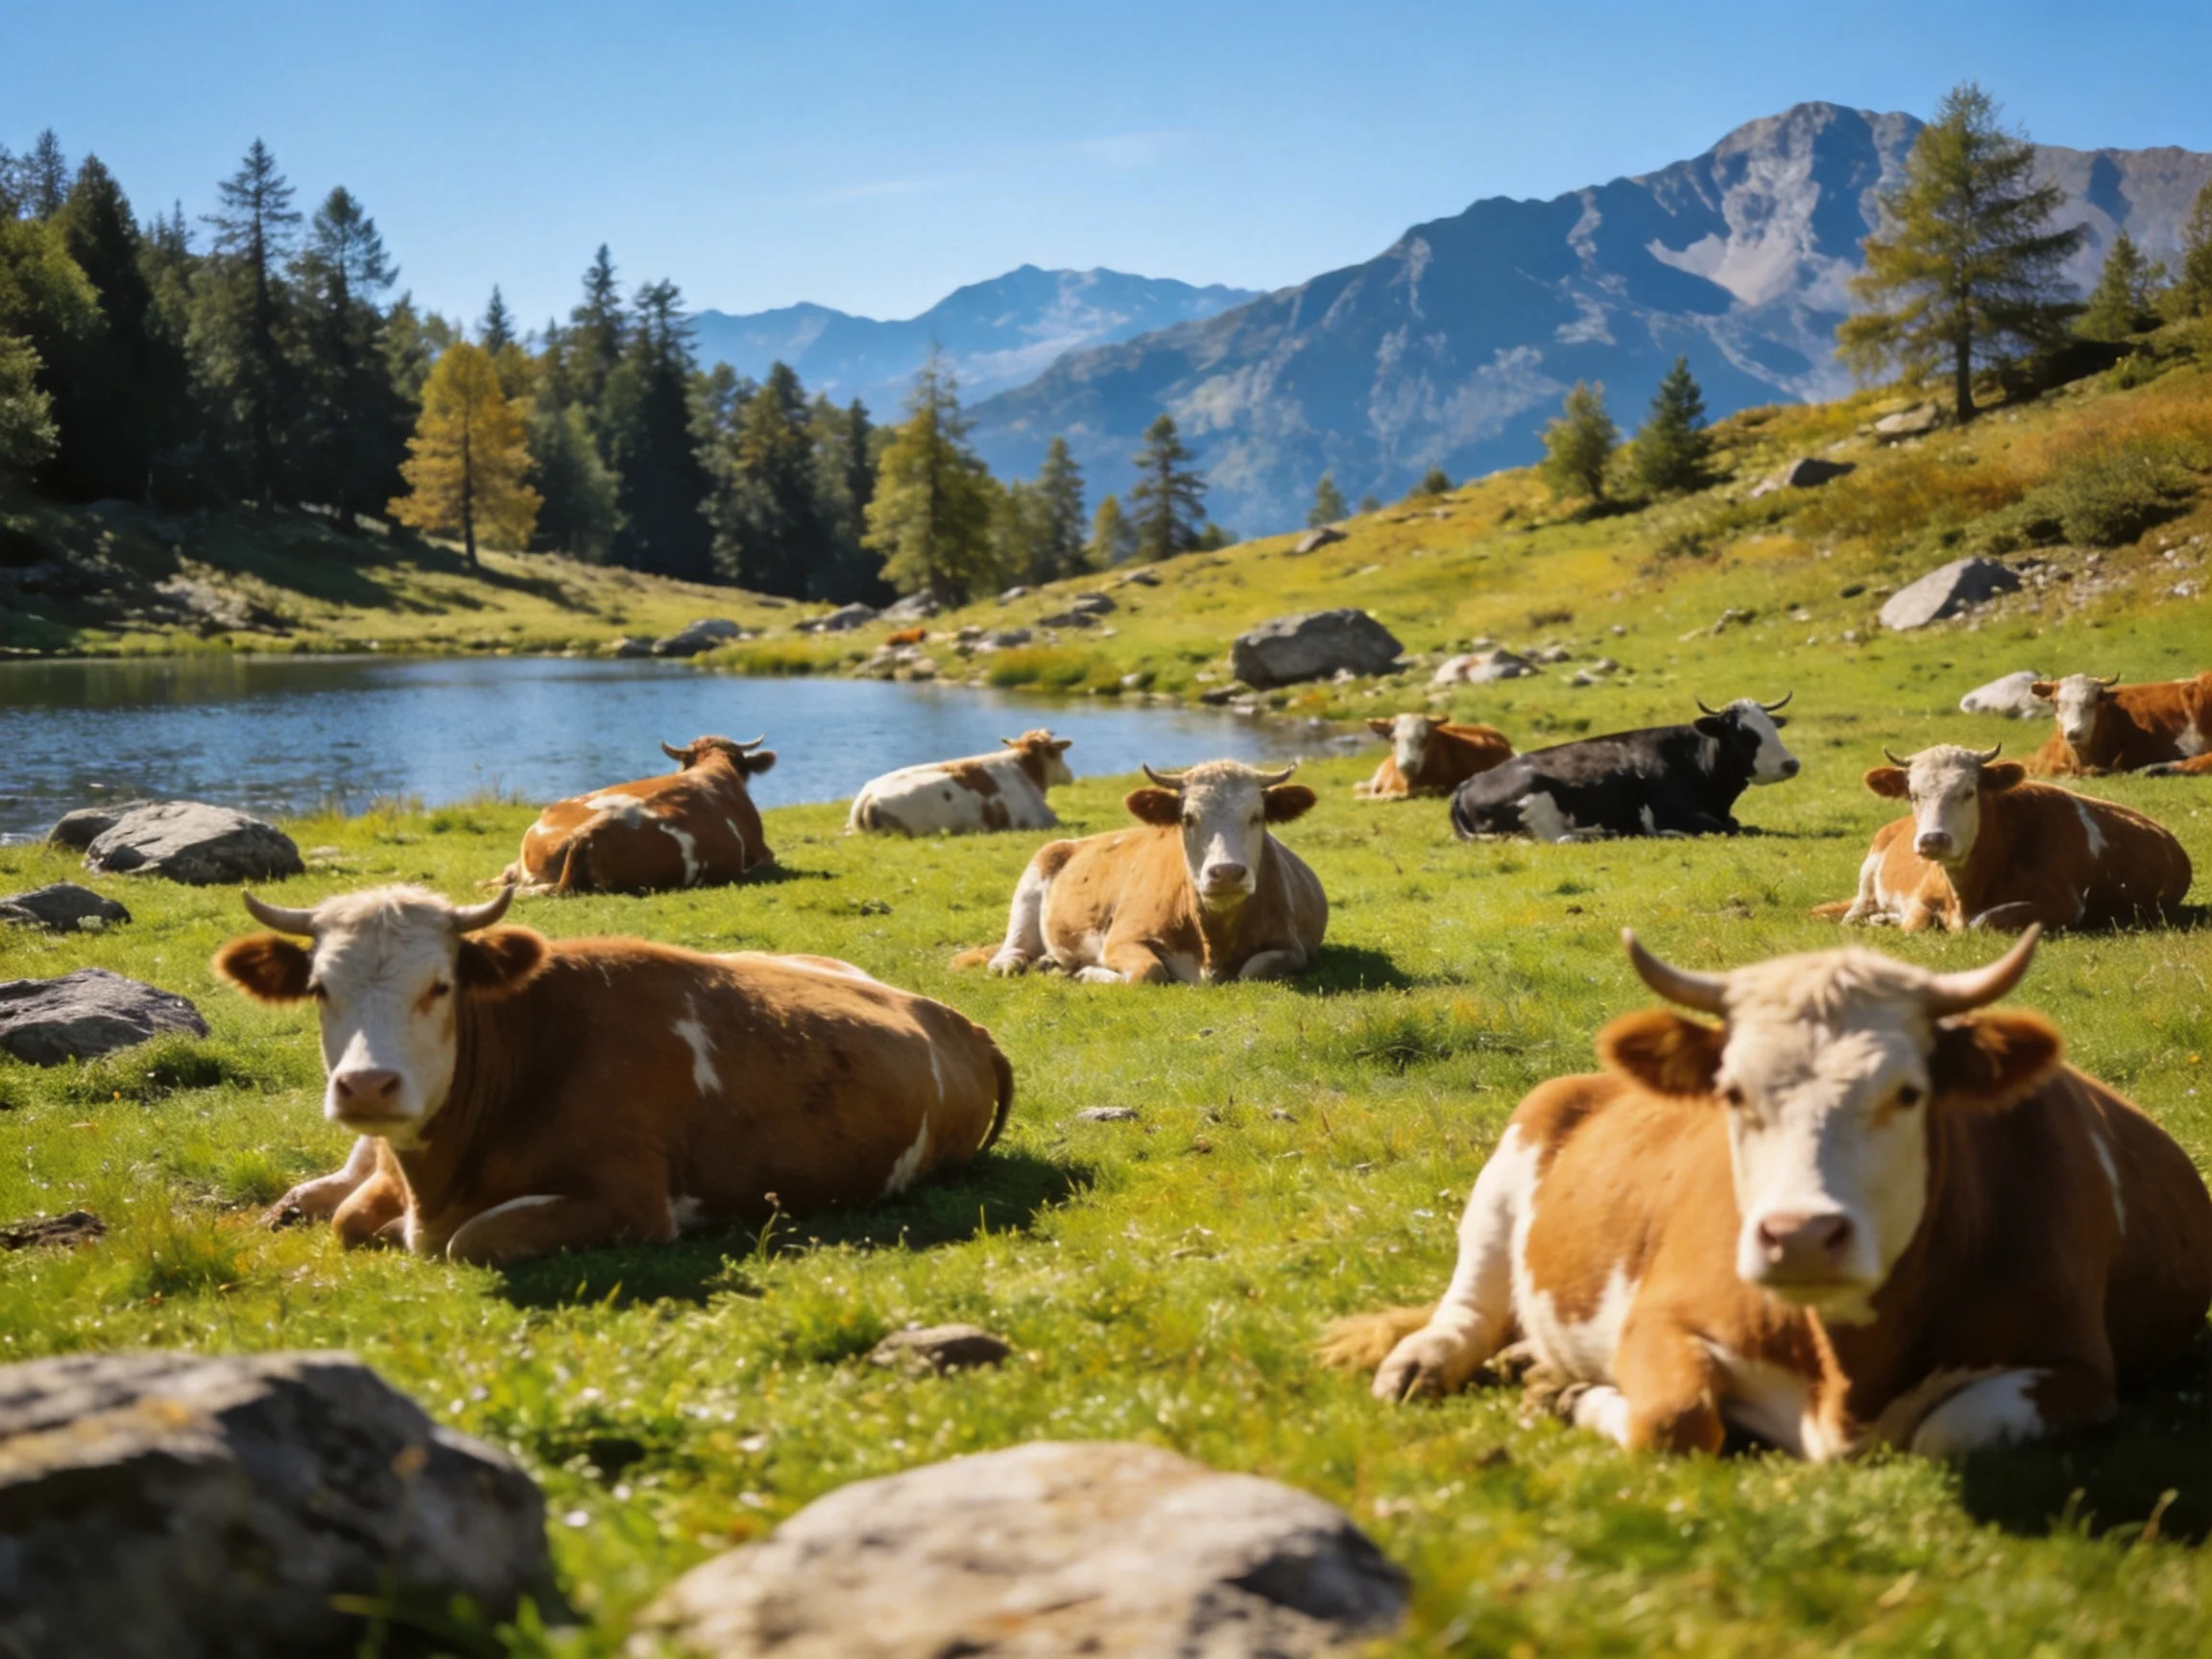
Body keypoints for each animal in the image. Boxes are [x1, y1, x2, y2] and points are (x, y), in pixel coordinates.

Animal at [215, 883, 1013, 1267]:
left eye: (440, 986)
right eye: (320, 988)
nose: (367, 1087)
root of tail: (962, 1022)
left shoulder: (629, 1202)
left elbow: (470, 1238)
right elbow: (351, 1217)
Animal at [960, 760, 1326, 984]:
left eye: (1257, 816)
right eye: (1187, 818)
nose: (1226, 873)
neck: (1212, 944)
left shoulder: (1292, 947)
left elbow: (1254, 969)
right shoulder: (1121, 939)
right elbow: (1149, 971)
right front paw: (1088, 974)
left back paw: (1053, 963)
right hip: (1032, 881)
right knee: (1013, 946)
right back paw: (1014, 964)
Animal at [1321, 928, 2212, 1459]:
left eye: (1908, 1093)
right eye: (1732, 1092)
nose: (1800, 1235)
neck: (1848, 1373)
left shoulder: (2078, 1369)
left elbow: (1941, 1432)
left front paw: (1555, 1382)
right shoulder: (1661, 1316)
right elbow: (1673, 1421)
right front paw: (1568, 1391)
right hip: (1508, 1173)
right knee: (1467, 1306)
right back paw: (1428, 1362)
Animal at [1448, 695, 1799, 842]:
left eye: (1772, 727)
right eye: (1745, 733)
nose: (1791, 763)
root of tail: (1467, 784)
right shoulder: (1675, 813)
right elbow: (1724, 828)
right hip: (1535, 805)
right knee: (1558, 838)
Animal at [1817, 743, 2192, 933]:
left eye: (1969, 792)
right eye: (1913, 794)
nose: (1933, 840)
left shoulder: (2063, 904)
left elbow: (1982, 922)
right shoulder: (1922, 897)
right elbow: (1913, 923)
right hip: (1869, 871)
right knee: (1855, 913)